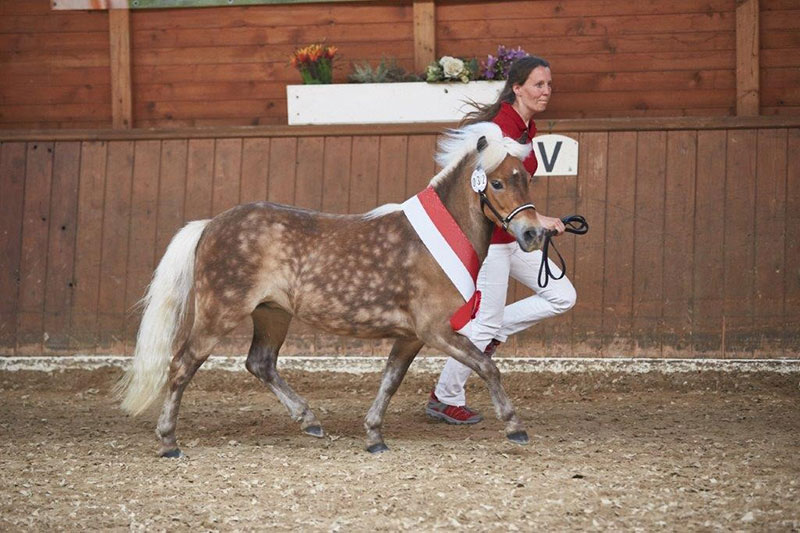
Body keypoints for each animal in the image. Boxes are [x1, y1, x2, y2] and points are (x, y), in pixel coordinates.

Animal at [115, 121, 552, 454]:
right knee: (181, 365)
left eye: (526, 178)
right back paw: (168, 442)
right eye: (497, 183)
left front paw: (374, 435)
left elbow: (390, 380)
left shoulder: (412, 335)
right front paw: (515, 426)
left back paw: (309, 421)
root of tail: (210, 225)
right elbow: (487, 366)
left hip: (272, 314)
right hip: (218, 312)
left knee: (260, 363)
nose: (532, 234)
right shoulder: (437, 331)